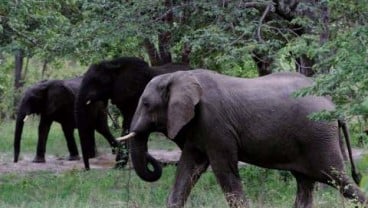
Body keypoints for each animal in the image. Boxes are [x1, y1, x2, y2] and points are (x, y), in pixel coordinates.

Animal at [119, 70, 366, 208]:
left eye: (146, 104)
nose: (153, 159)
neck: (178, 76)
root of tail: (333, 105)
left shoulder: (215, 124)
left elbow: (223, 170)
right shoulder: (198, 127)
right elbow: (189, 169)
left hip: (318, 136)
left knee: (338, 178)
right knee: (306, 183)